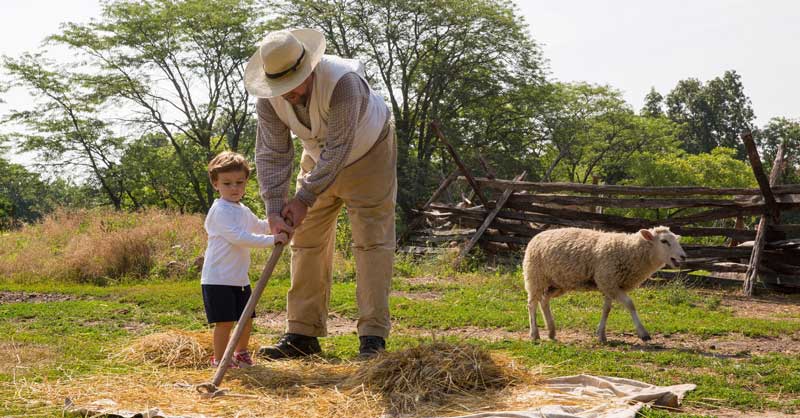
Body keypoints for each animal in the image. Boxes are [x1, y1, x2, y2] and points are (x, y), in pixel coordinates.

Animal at [520, 225, 684, 342]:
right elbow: (630, 304)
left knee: (544, 300)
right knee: (532, 304)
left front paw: (601, 335)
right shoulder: (609, 281)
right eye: (664, 241)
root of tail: (537, 235)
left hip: (557, 283)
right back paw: (534, 334)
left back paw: (551, 331)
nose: (683, 256)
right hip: (535, 276)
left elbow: (607, 309)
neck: (629, 251)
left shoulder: (610, 285)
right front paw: (643, 333)